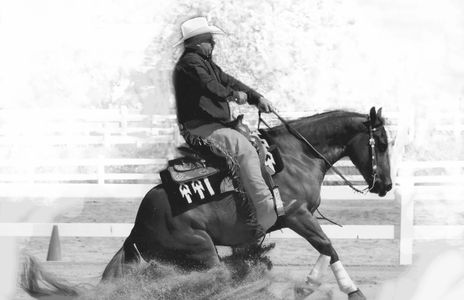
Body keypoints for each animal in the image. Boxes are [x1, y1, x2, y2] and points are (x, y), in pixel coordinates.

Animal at [21, 108, 392, 300]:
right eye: (384, 142)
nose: (386, 185)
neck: (297, 156)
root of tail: (138, 227)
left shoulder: (301, 217)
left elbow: (324, 249)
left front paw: (309, 285)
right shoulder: (296, 214)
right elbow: (328, 246)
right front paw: (352, 291)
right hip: (200, 249)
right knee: (213, 277)